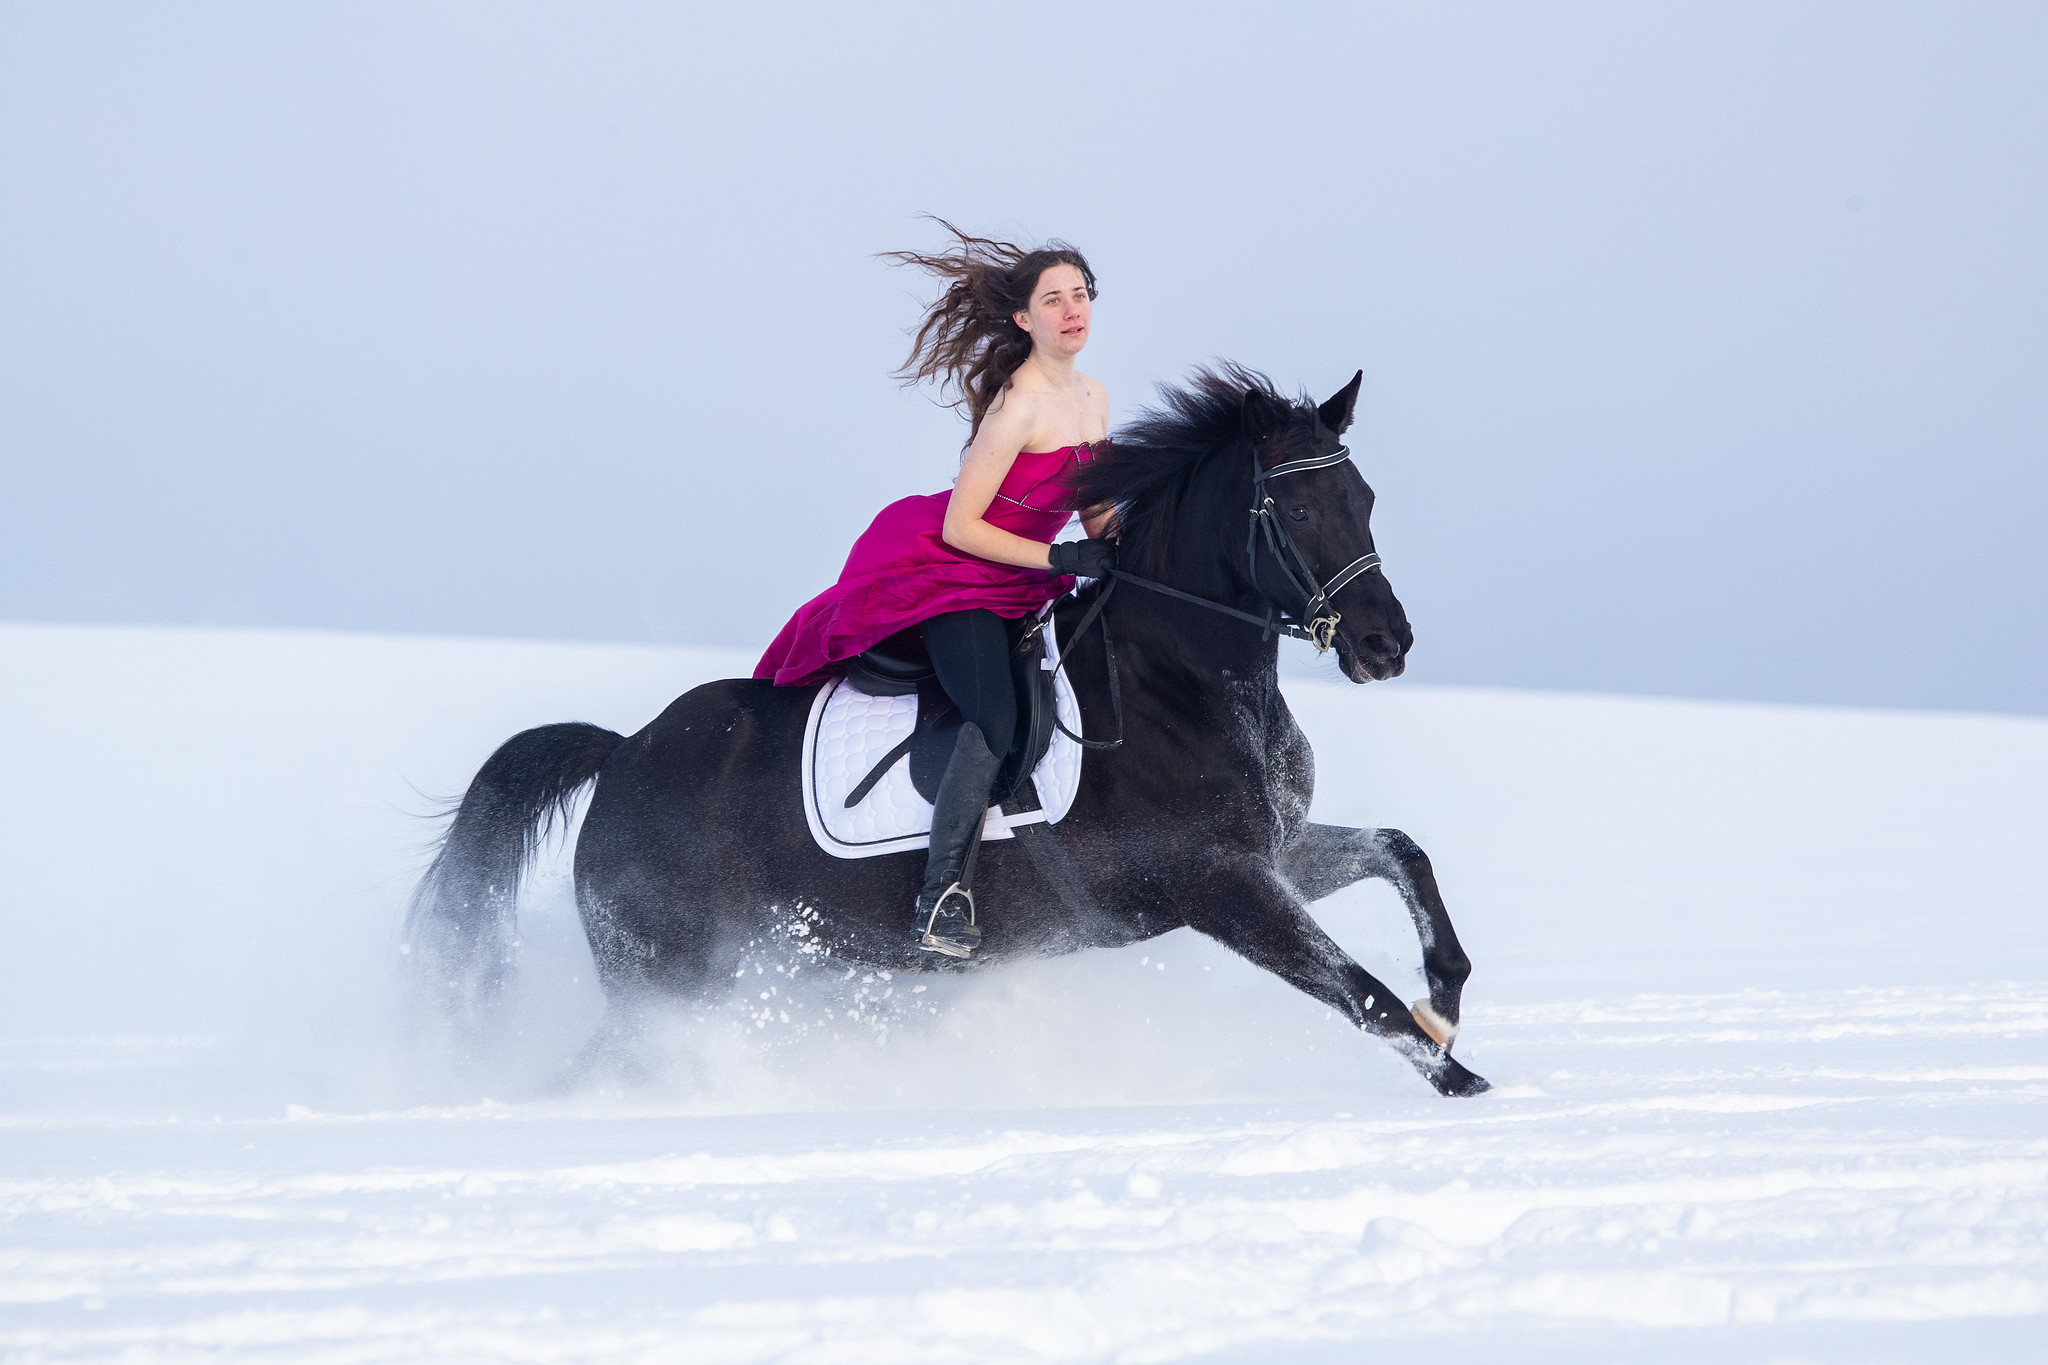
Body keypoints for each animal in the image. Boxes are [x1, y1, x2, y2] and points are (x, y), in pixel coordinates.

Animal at [411, 362, 1490, 1096]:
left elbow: (1401, 851)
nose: (1385, 643)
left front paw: (1446, 997)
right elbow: (1359, 993)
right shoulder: (1217, 882)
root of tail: (624, 752)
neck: (1175, 684)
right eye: (1297, 506)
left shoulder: (1274, 852)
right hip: (667, 978)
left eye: (1364, 498)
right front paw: (1458, 1078)